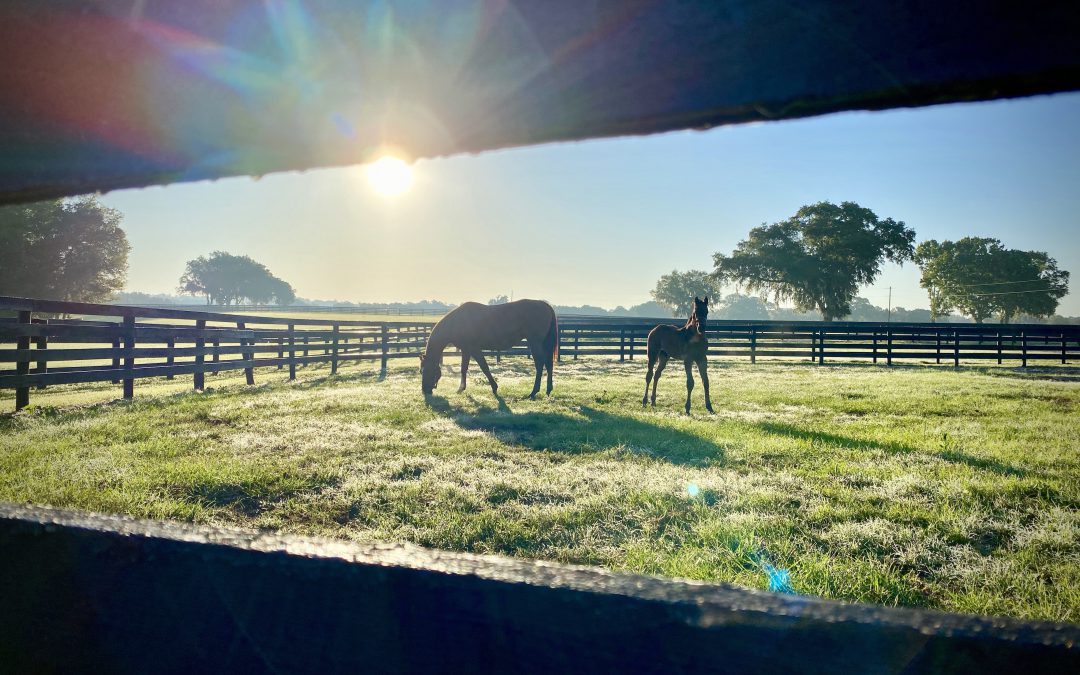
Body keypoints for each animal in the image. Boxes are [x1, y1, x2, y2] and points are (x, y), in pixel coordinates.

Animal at [419, 298, 561, 397]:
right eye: (421, 371)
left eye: (425, 371)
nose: (425, 391)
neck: (457, 322)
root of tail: (546, 305)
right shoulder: (466, 350)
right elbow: (464, 369)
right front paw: (461, 388)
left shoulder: (474, 349)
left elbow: (484, 367)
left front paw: (494, 387)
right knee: (548, 364)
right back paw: (548, 390)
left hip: (535, 342)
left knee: (540, 364)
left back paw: (533, 392)